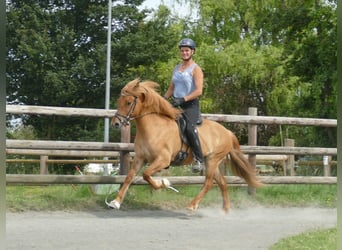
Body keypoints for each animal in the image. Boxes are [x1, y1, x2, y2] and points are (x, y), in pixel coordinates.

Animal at [108, 79, 264, 212]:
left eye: (129, 102)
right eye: (119, 101)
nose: (115, 123)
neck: (154, 128)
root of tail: (227, 132)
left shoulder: (163, 160)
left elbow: (146, 175)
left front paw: (164, 183)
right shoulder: (140, 158)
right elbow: (129, 177)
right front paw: (116, 202)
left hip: (213, 160)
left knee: (208, 183)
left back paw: (192, 206)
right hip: (212, 162)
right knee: (222, 183)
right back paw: (225, 211)